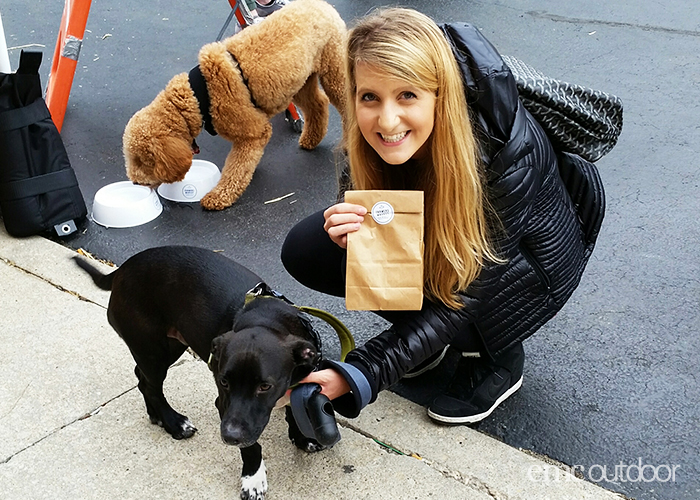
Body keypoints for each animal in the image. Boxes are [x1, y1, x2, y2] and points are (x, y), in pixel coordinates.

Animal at [73, 247, 322, 500]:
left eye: (265, 386)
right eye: (224, 382)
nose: (229, 436)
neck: (268, 321)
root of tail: (124, 268)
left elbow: (293, 407)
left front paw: (302, 436)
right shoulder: (224, 405)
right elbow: (251, 447)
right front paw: (253, 479)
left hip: (169, 346)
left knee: (141, 378)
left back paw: (156, 415)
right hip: (153, 350)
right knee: (151, 386)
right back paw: (174, 423)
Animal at [125, 0, 348, 209]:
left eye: (144, 161)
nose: (135, 182)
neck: (198, 96)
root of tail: (321, 4)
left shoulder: (253, 132)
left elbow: (236, 168)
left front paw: (219, 196)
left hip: (334, 69)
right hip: (298, 82)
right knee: (318, 103)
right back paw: (311, 139)